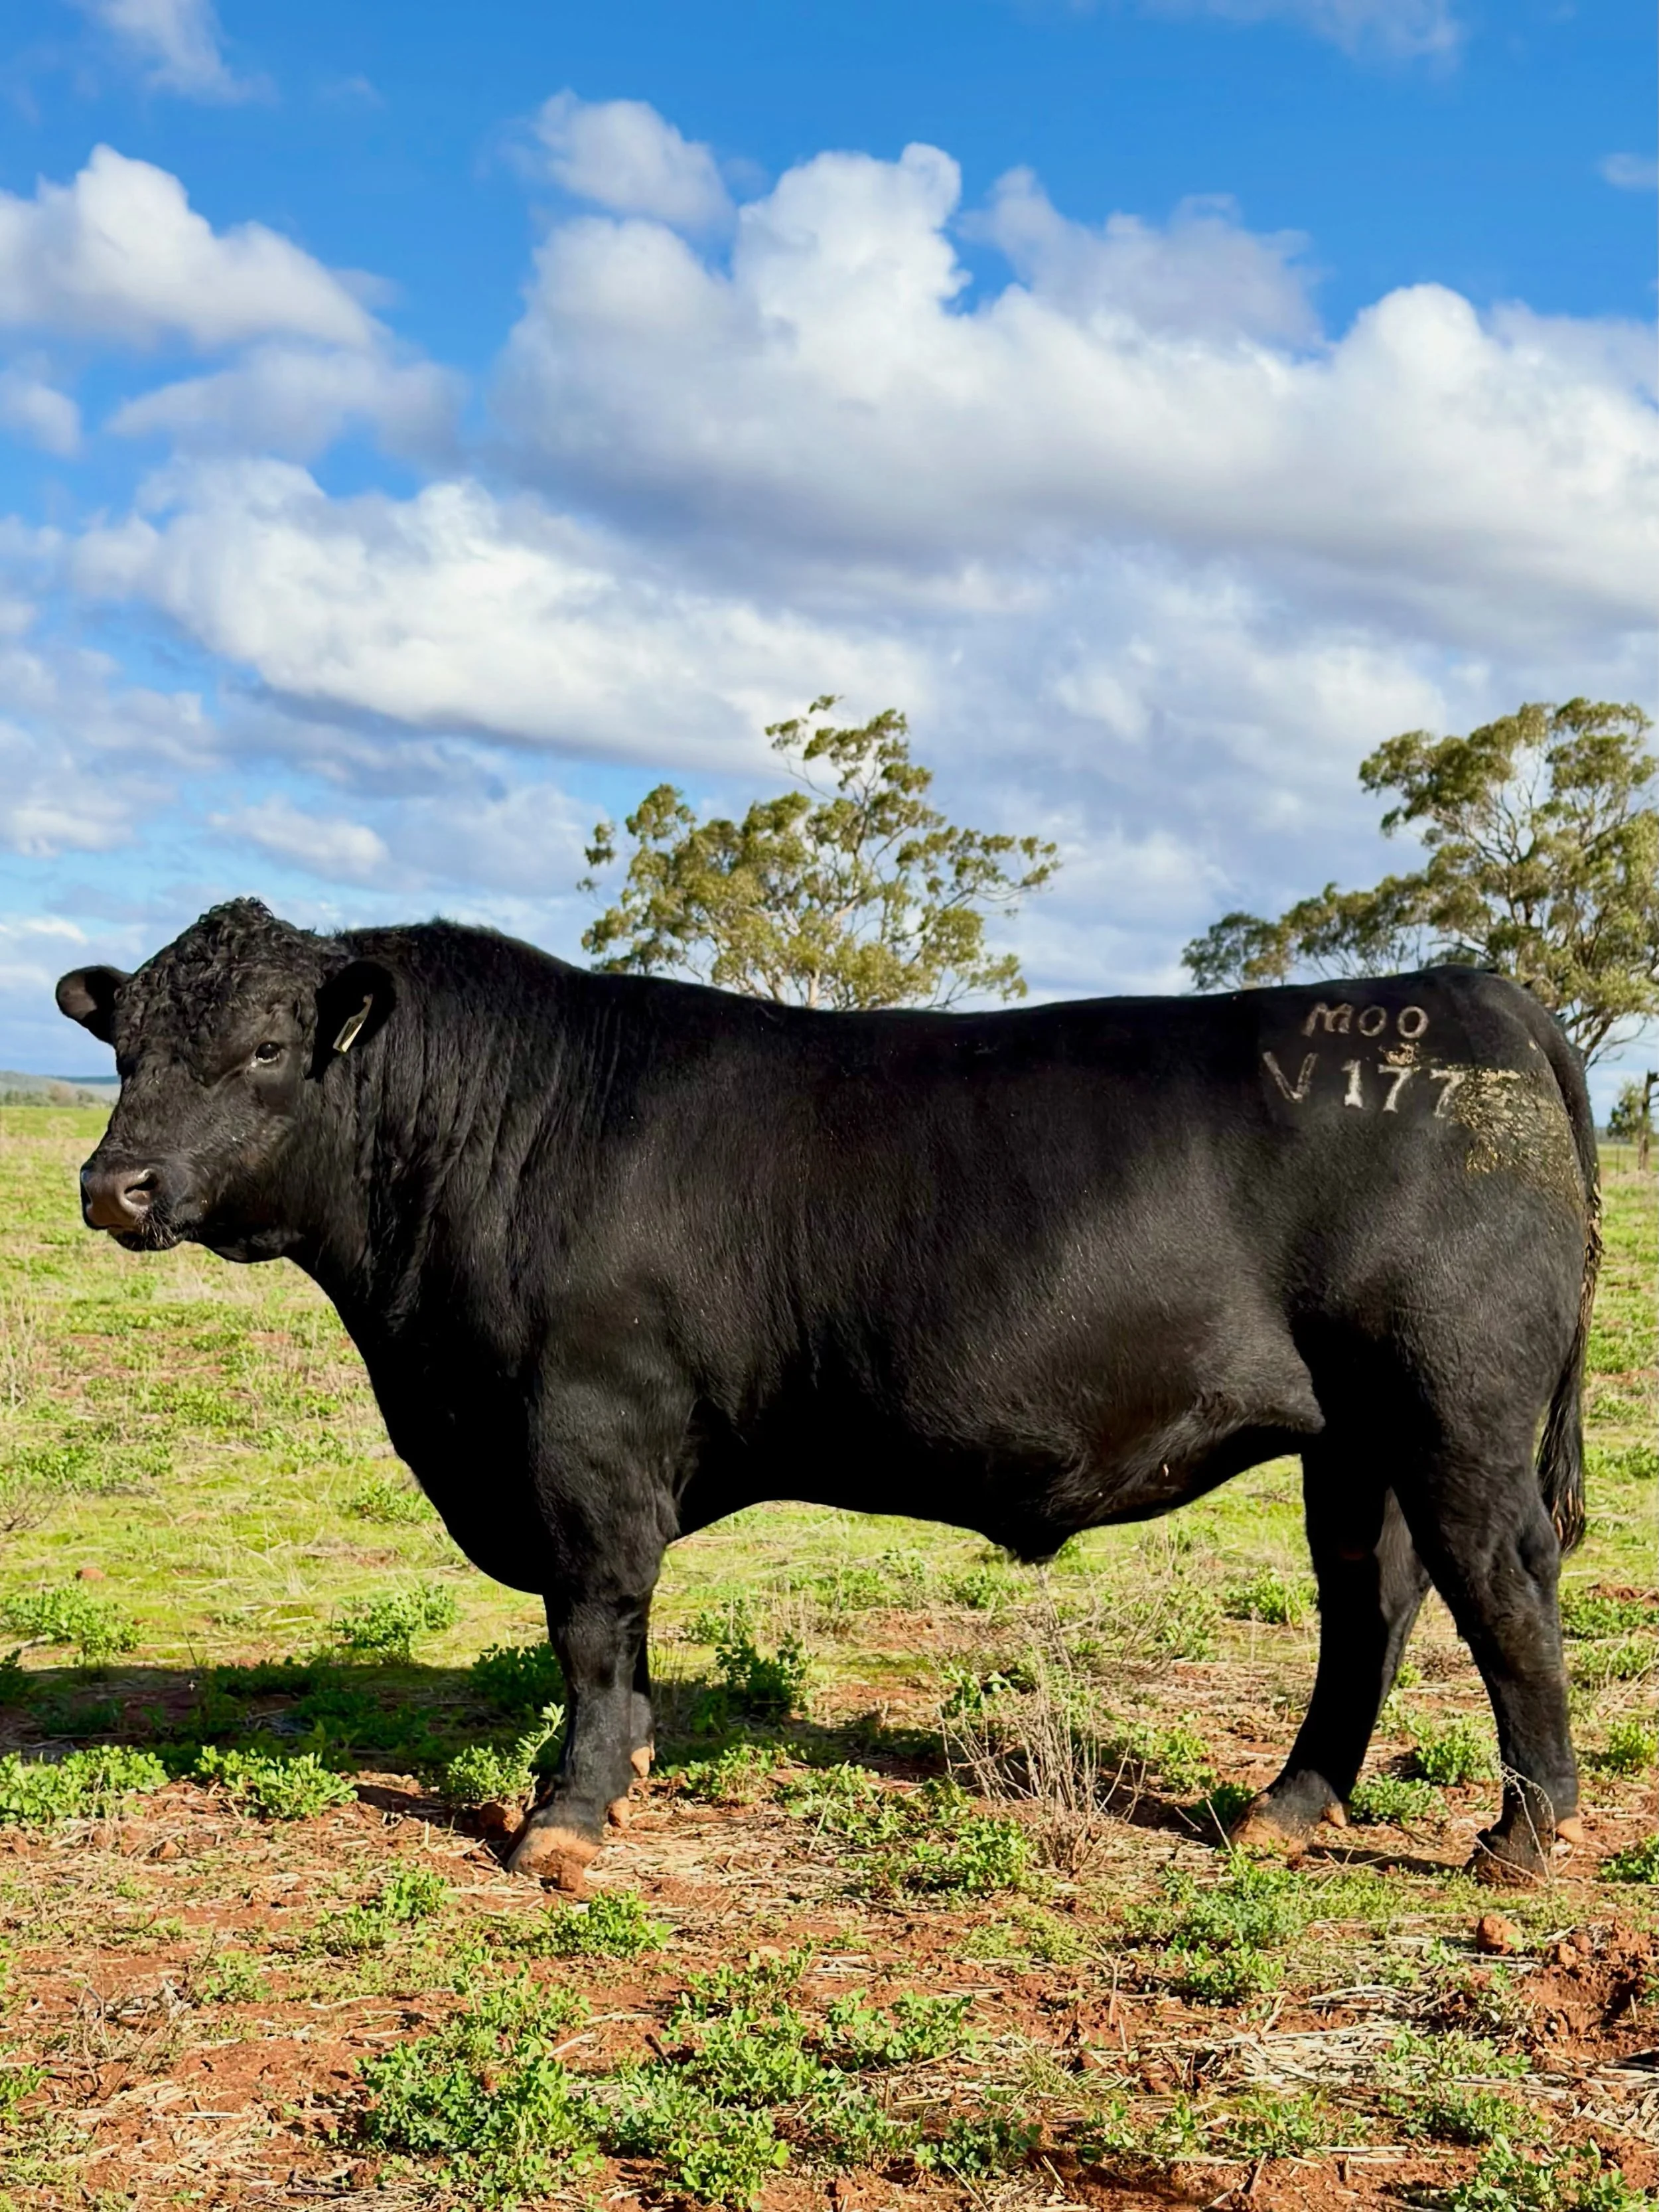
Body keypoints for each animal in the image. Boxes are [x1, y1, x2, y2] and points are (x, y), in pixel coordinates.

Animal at [57, 900, 1599, 1890]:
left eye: (265, 1049)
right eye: (125, 1048)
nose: (112, 1184)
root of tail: (1471, 990)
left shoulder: (583, 1433)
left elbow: (591, 1623)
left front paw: (567, 1813)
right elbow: (620, 1643)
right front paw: (628, 1766)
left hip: (1454, 1408)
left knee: (1499, 1581)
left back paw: (1520, 1838)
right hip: (1356, 1438)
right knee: (1370, 1597)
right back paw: (1286, 1807)